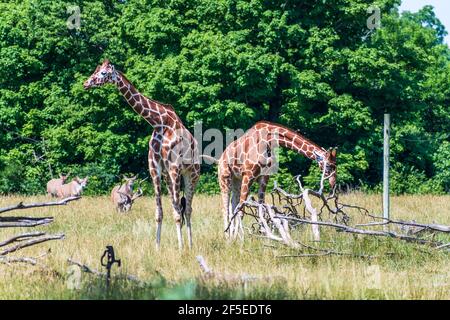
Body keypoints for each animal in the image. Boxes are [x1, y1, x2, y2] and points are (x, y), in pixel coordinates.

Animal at [83, 60, 200, 250]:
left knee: (187, 209)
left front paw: (181, 248)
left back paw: (189, 245)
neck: (159, 123)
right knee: (179, 207)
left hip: (191, 174)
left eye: (103, 73)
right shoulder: (156, 169)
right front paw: (157, 247)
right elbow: (159, 212)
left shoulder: (174, 167)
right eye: (95, 70)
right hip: (170, 177)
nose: (86, 83)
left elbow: (177, 213)